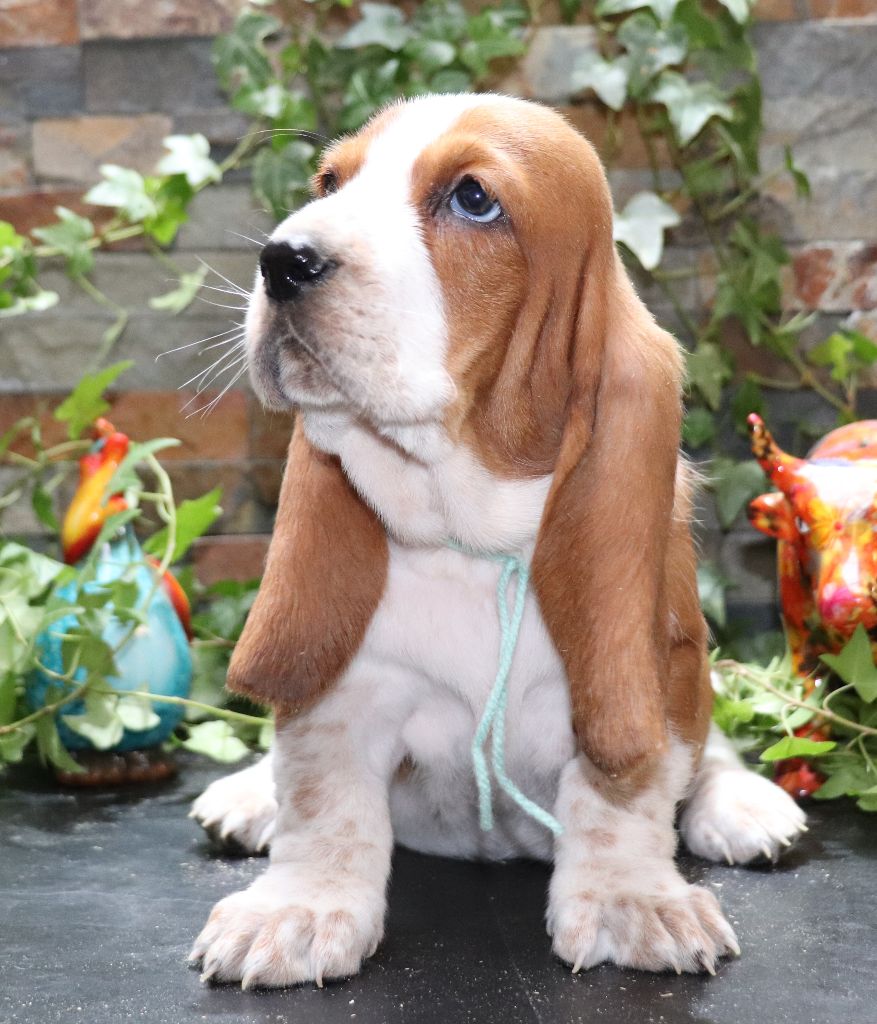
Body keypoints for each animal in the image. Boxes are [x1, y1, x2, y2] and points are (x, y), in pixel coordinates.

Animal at [188, 94, 806, 988]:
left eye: (473, 198)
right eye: (329, 183)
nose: (282, 258)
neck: (466, 542)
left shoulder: (643, 681)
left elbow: (622, 794)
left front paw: (629, 898)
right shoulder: (348, 692)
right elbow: (322, 798)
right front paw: (298, 908)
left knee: (710, 747)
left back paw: (742, 804)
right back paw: (246, 795)